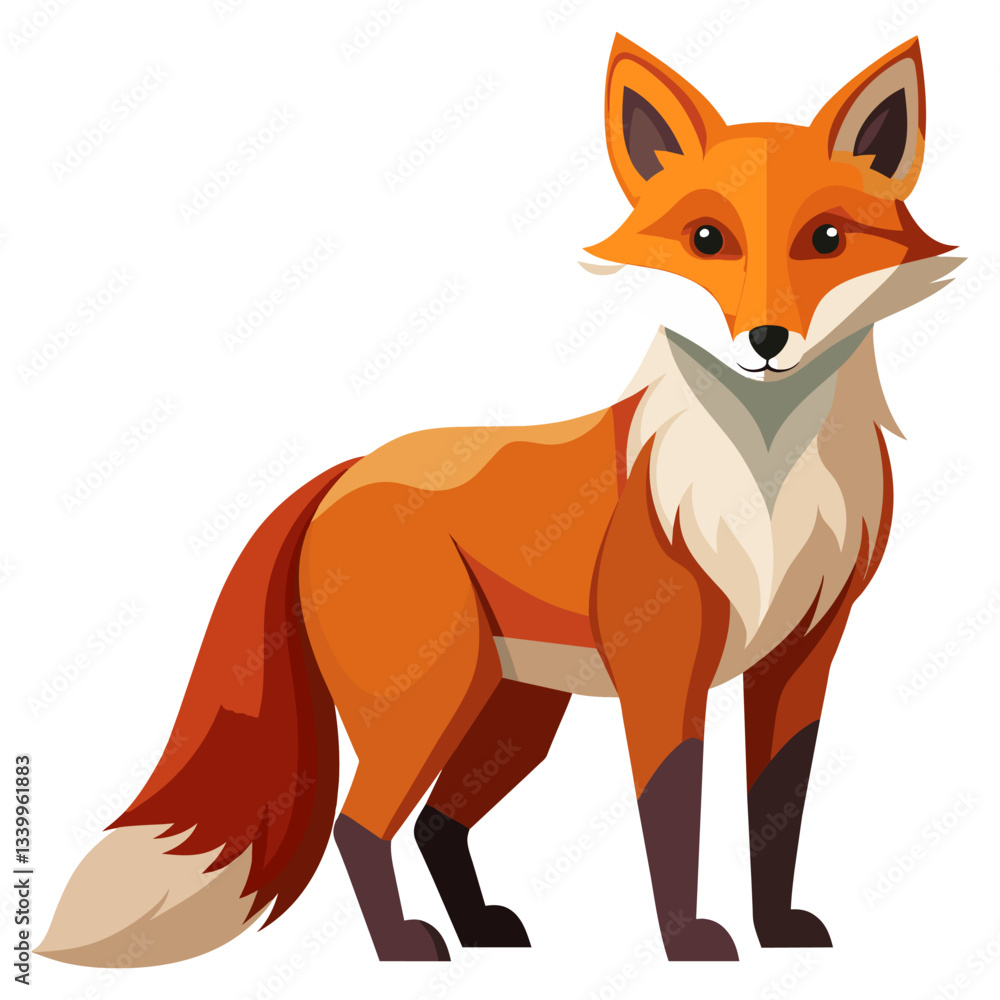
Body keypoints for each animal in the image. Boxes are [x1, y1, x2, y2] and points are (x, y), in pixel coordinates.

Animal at [39, 33, 959, 965]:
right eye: (708, 238)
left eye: (827, 239)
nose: (767, 340)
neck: (764, 490)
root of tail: (348, 470)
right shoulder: (662, 670)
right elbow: (674, 819)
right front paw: (688, 944)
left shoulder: (802, 657)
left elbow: (778, 811)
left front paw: (777, 934)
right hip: (431, 700)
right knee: (359, 825)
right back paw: (403, 947)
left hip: (511, 711)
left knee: (435, 824)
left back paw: (481, 930)